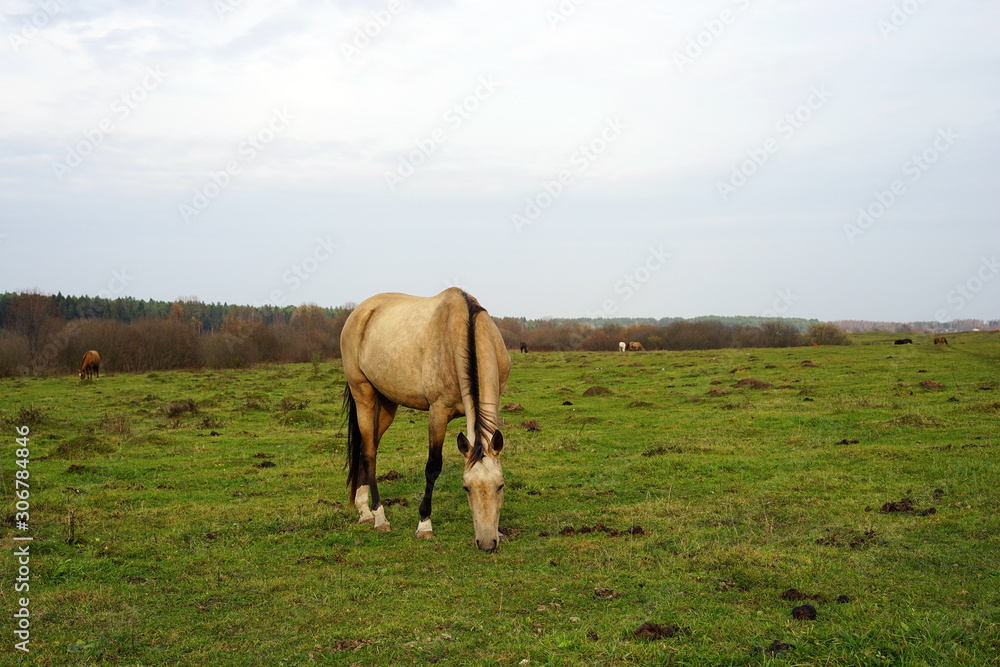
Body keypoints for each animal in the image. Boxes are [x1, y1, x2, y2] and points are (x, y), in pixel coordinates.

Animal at [340, 288, 511, 552]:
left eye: (500, 486)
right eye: (466, 487)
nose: (486, 543)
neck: (462, 330)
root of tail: (359, 313)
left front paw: (500, 531)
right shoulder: (438, 412)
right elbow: (433, 467)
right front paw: (424, 525)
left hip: (387, 404)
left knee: (365, 449)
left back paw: (364, 512)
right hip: (364, 395)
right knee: (369, 454)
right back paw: (379, 517)